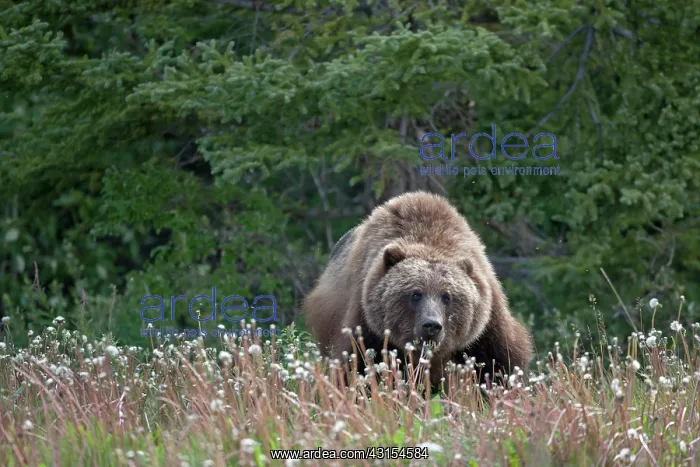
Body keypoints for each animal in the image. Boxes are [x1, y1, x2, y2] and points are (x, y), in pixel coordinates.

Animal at [302, 191, 533, 389]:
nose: (432, 325)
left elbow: (499, 363)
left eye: (447, 296)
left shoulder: (486, 326)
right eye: (415, 294)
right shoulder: (367, 321)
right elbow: (357, 364)